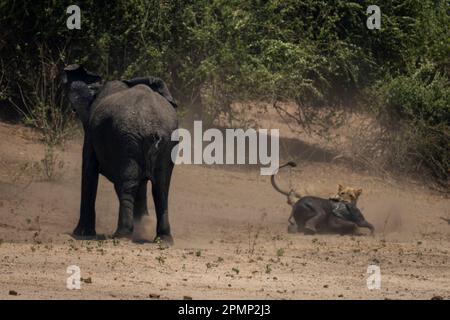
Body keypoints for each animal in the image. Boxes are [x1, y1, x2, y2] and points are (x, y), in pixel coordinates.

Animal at [63, 64, 179, 245]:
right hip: (166, 141)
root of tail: (153, 128)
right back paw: (163, 239)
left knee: (127, 185)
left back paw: (122, 234)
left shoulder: (90, 133)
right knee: (161, 188)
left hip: (127, 138)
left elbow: (89, 168)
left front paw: (81, 233)